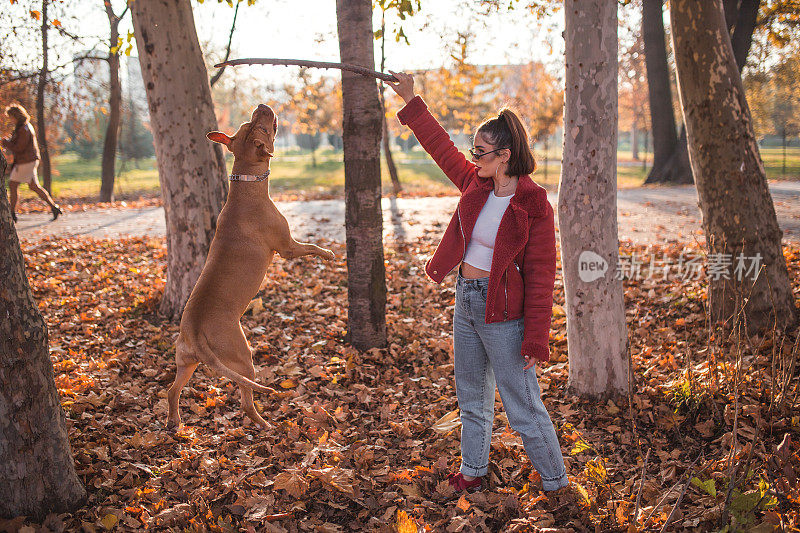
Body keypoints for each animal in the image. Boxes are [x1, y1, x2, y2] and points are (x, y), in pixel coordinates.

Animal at [166, 104, 334, 428]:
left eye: (250, 122)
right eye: (263, 128)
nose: (262, 107)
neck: (246, 186)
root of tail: (196, 334)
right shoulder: (287, 247)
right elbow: (312, 248)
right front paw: (329, 253)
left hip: (186, 362)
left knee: (171, 390)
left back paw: (174, 422)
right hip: (243, 359)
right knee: (245, 400)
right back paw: (265, 424)